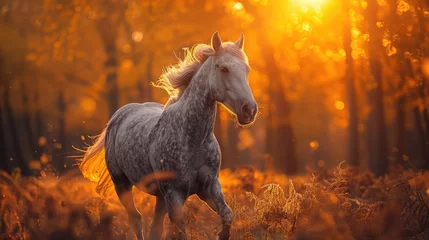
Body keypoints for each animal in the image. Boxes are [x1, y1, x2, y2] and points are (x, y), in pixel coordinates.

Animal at [78, 32, 256, 240]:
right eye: (224, 68)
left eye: (247, 69)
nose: (249, 110)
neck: (192, 140)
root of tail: (119, 115)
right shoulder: (174, 193)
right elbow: (180, 231)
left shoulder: (209, 186)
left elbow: (227, 215)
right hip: (122, 184)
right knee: (136, 219)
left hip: (160, 197)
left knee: (154, 228)